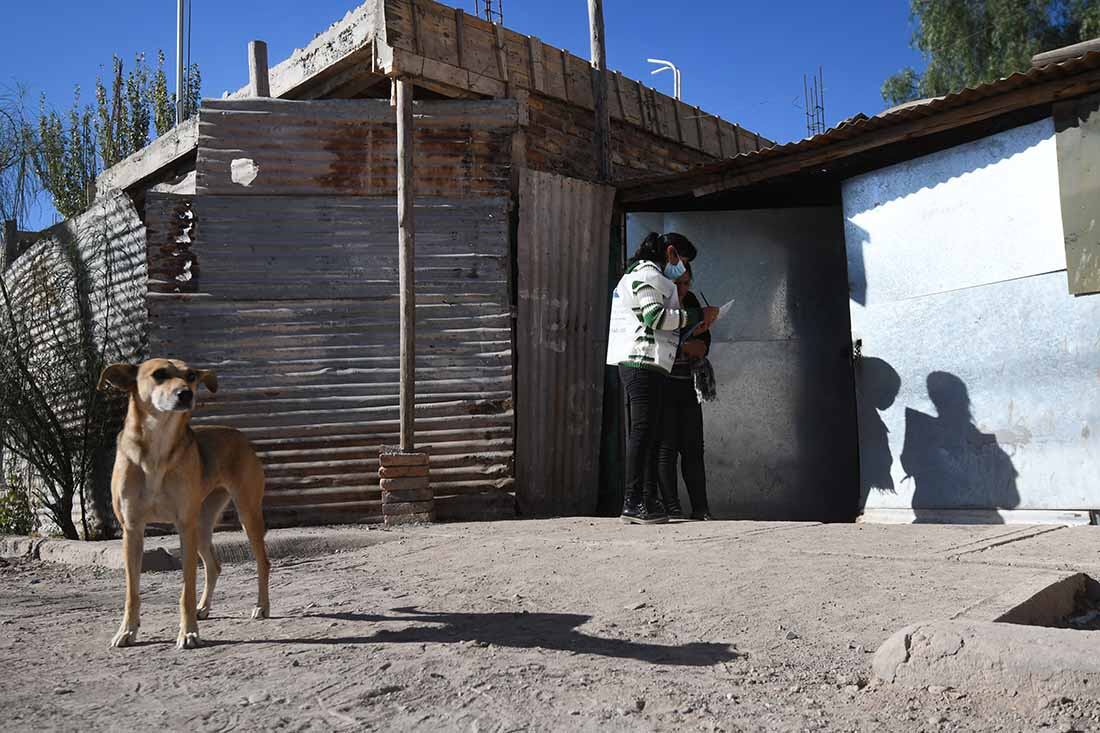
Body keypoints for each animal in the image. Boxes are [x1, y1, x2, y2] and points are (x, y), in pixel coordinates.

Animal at [99, 356, 270, 647]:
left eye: (191, 376)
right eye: (159, 374)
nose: (186, 394)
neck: (156, 449)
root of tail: (237, 433)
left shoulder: (183, 527)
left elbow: (186, 590)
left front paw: (188, 633)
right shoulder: (132, 529)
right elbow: (132, 592)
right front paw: (127, 631)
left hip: (245, 515)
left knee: (262, 562)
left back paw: (261, 606)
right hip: (200, 525)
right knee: (214, 565)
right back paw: (204, 607)